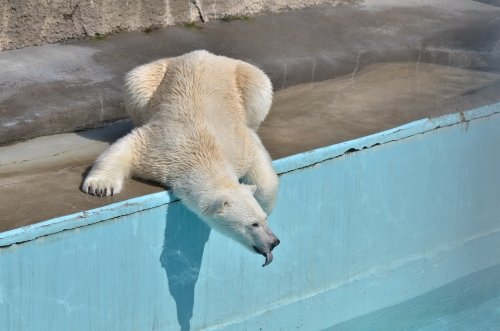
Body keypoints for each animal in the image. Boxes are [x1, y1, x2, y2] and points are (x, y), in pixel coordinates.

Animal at [80, 50, 280, 268]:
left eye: (262, 219)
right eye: (253, 224)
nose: (274, 242)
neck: (204, 151)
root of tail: (206, 54)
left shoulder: (238, 145)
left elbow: (263, 174)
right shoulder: (161, 144)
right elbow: (127, 147)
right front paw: (100, 187)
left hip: (244, 77)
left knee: (261, 90)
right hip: (155, 75)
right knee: (135, 84)